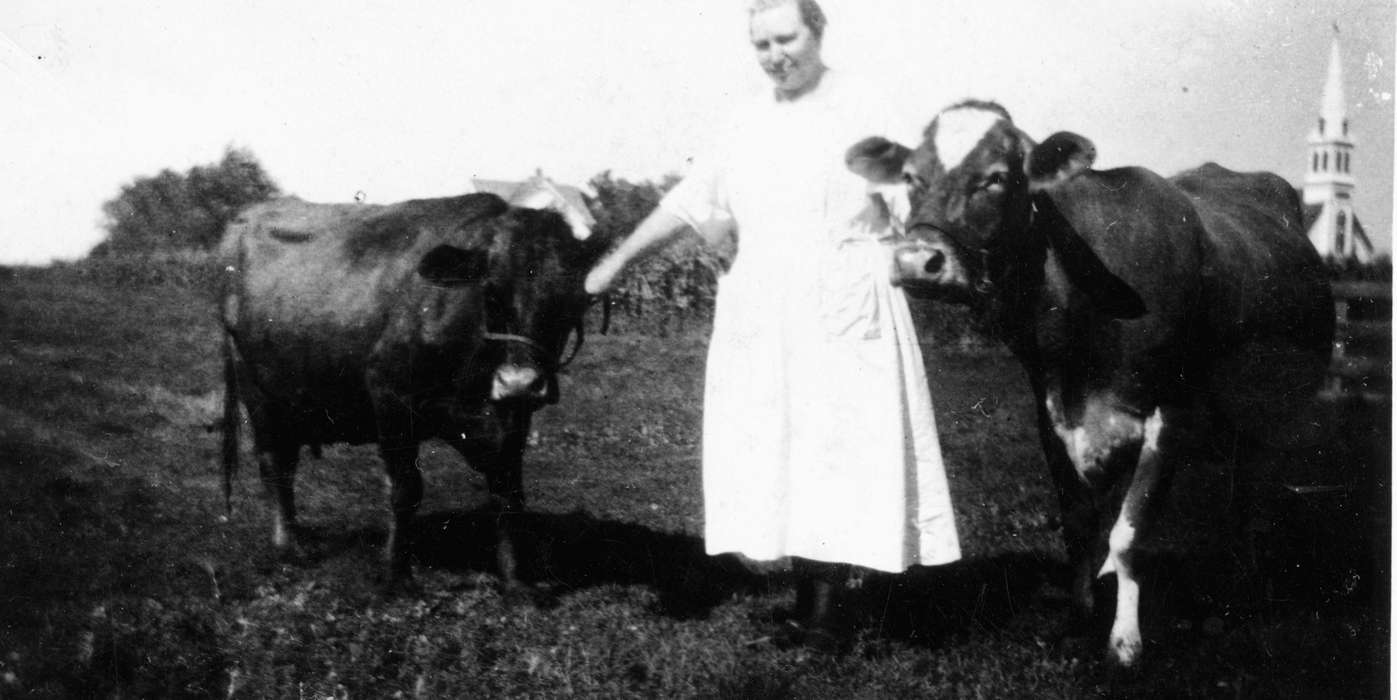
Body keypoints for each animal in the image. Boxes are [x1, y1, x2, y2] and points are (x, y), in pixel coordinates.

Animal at [217, 192, 611, 584]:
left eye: (570, 299)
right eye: (491, 293)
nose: (520, 382)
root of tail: (247, 215)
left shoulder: (513, 415)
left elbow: (507, 490)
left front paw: (515, 579)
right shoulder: (389, 395)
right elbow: (406, 489)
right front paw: (396, 572)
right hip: (258, 390)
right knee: (276, 464)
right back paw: (289, 547)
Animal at [838, 101, 1329, 662]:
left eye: (997, 177)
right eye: (912, 177)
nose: (917, 261)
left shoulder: (1171, 413)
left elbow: (1131, 535)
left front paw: (1124, 640)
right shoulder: (1053, 411)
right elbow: (1080, 525)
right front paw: (1078, 619)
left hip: (1276, 413)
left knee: (1248, 496)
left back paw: (1241, 579)